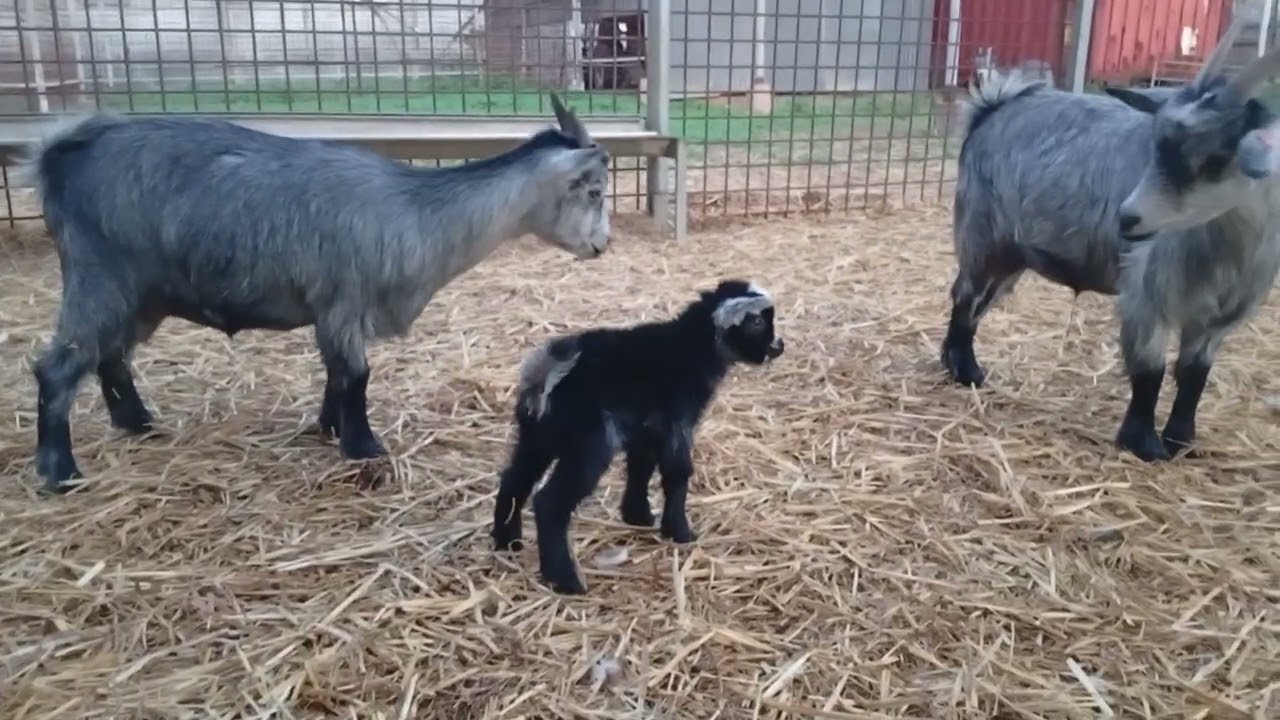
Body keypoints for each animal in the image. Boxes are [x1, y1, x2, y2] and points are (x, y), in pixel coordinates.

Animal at [18, 94, 612, 493]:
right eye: (595, 190)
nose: (602, 245)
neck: (416, 212)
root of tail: (63, 155)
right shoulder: (344, 301)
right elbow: (356, 375)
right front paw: (362, 446)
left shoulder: (334, 313)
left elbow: (337, 375)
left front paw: (329, 428)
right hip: (101, 277)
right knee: (60, 368)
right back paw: (60, 471)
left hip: (142, 295)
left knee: (110, 356)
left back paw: (136, 423)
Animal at [490, 279, 786, 595]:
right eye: (756, 322)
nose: (779, 346)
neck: (694, 346)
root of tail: (546, 374)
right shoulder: (677, 420)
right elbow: (677, 473)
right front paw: (680, 532)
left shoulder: (646, 426)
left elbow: (640, 467)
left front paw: (638, 516)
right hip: (589, 441)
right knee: (549, 502)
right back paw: (565, 580)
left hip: (537, 435)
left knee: (514, 479)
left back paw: (507, 541)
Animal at [939, 8, 1280, 463]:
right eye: (1156, 143)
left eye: (1216, 158)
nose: (1127, 218)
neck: (1228, 253)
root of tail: (995, 106)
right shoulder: (1146, 296)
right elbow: (1150, 370)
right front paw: (1146, 444)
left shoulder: (1221, 316)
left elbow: (1195, 373)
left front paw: (1182, 440)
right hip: (983, 235)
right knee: (966, 296)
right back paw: (966, 371)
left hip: (1013, 253)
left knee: (980, 301)